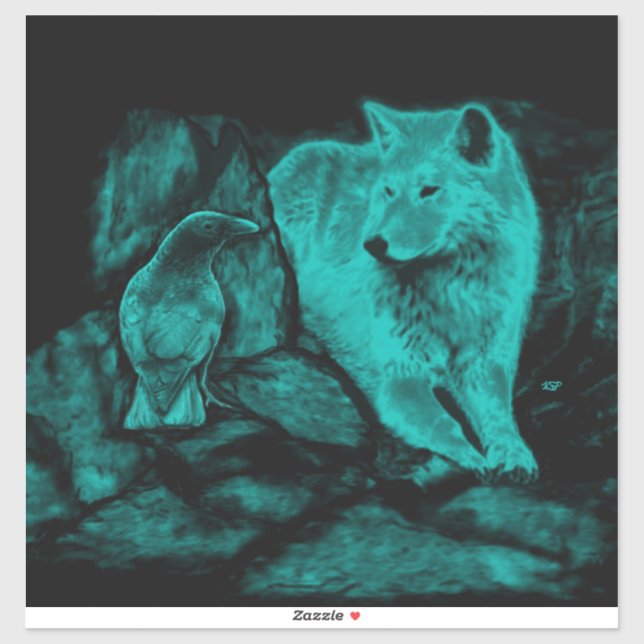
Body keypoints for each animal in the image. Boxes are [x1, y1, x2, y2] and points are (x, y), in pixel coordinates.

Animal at [268, 101, 541, 482]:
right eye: (388, 191)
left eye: (429, 190)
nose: (372, 244)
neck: (448, 292)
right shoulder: (399, 378)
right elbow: (445, 422)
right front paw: (471, 459)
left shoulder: (483, 365)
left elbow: (499, 417)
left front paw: (514, 455)